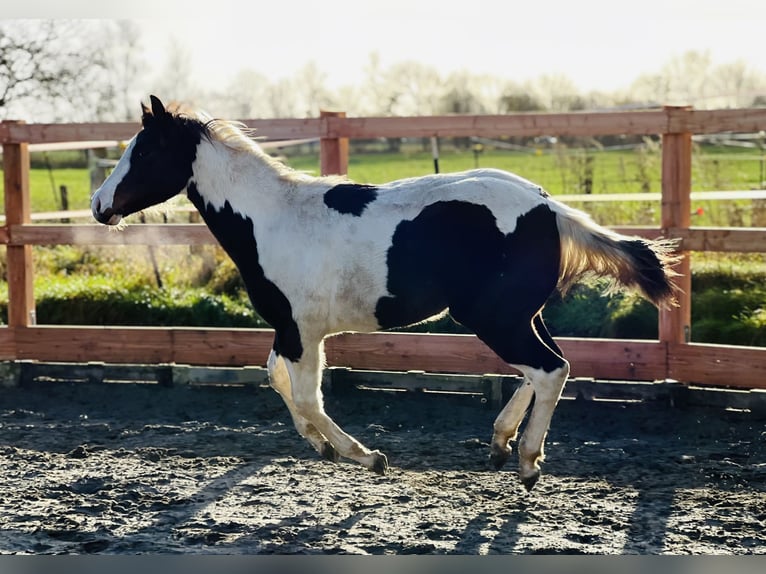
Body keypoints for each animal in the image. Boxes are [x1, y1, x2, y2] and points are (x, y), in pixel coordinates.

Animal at [91, 97, 680, 492]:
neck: (272, 220)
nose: (99, 205)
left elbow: (307, 395)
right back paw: (500, 444)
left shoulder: (303, 331)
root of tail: (550, 207)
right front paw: (320, 445)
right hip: (516, 315)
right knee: (546, 367)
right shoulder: (290, 331)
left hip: (494, 318)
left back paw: (528, 461)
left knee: (549, 369)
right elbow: (278, 381)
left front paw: (366, 457)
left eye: (145, 150)